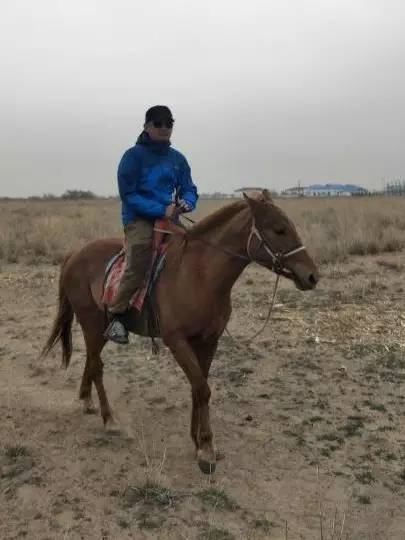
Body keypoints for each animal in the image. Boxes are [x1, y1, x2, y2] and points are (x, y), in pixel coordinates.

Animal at [41, 190, 318, 472]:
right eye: (279, 229)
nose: (312, 276)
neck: (199, 275)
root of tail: (74, 253)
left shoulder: (208, 341)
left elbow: (199, 387)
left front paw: (197, 442)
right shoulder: (177, 342)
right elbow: (202, 389)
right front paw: (206, 448)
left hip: (99, 329)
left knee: (91, 360)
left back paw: (86, 400)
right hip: (92, 324)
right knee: (97, 366)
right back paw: (109, 420)